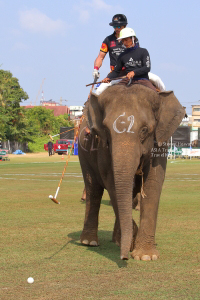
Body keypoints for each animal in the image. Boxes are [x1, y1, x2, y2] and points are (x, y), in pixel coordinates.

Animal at [78, 84, 186, 260]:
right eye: (105, 129)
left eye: (144, 130)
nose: (124, 258)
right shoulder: (102, 148)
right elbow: (112, 183)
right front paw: (132, 242)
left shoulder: (160, 143)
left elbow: (153, 183)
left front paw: (146, 256)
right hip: (83, 153)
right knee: (93, 189)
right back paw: (90, 242)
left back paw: (116, 241)